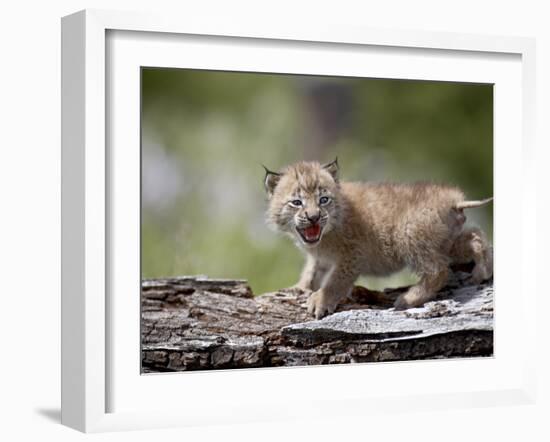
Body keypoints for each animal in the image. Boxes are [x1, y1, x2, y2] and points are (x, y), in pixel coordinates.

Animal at [264, 161, 496, 320]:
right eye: (296, 202)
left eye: (324, 200)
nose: (313, 217)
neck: (324, 236)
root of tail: (454, 200)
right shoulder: (321, 257)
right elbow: (312, 271)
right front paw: (299, 288)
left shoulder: (352, 255)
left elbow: (336, 280)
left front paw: (321, 300)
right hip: (445, 241)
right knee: (476, 235)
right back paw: (483, 271)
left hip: (409, 235)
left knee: (439, 270)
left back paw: (408, 299)